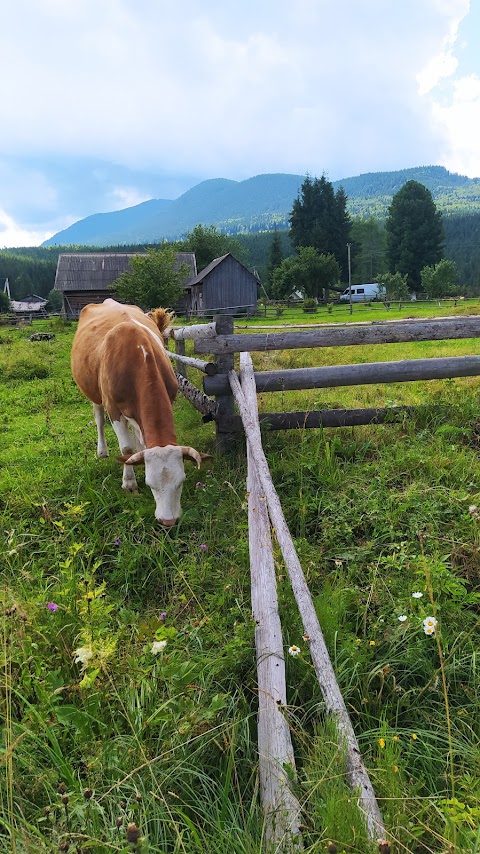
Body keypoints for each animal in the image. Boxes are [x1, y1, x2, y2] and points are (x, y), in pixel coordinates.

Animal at [71, 300, 208, 528]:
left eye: (181, 482)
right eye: (150, 484)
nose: (168, 521)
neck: (137, 354)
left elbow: (141, 444)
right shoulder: (114, 409)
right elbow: (126, 449)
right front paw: (130, 484)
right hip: (93, 392)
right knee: (99, 418)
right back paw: (102, 451)